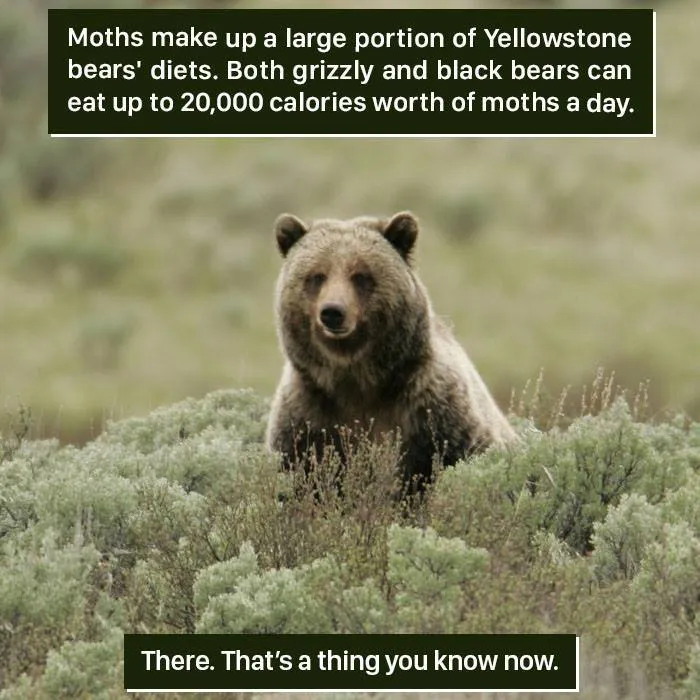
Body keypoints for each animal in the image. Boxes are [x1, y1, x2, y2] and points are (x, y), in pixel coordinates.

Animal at [265, 211, 517, 490]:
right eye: (317, 276)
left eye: (360, 275)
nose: (332, 312)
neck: (357, 379)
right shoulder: (307, 419)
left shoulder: (435, 413)